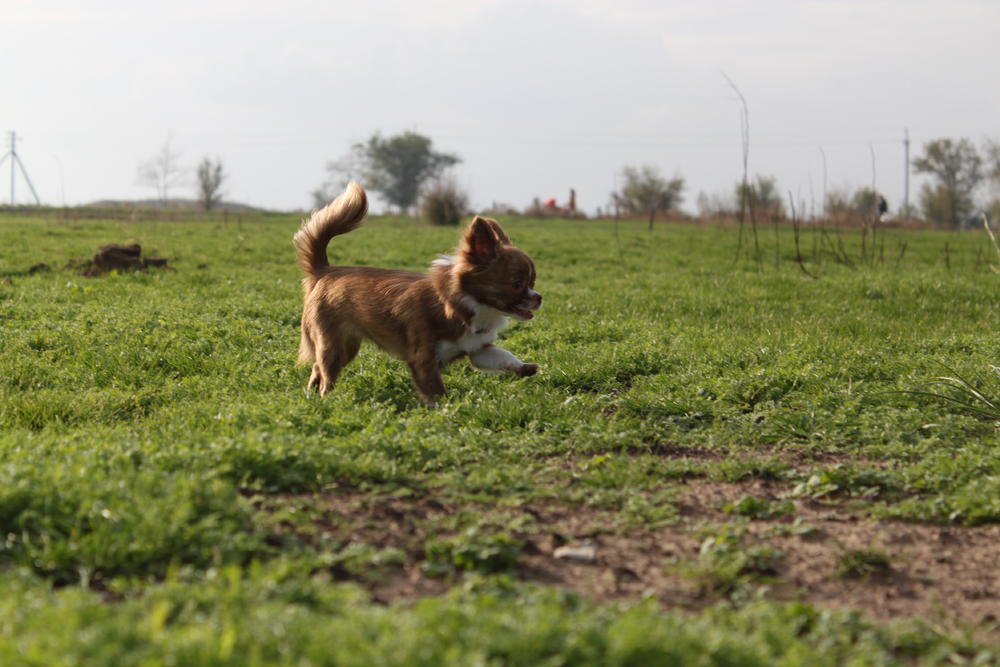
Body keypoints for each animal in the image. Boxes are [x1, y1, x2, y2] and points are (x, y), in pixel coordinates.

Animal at [294, 182, 542, 404]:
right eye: (517, 284)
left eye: (533, 281)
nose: (539, 297)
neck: (464, 305)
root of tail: (325, 271)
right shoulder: (423, 359)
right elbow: (436, 392)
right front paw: (445, 412)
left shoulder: (477, 348)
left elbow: (502, 356)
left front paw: (524, 367)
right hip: (333, 345)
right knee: (327, 375)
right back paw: (327, 400)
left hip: (347, 347)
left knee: (317, 367)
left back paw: (311, 394)